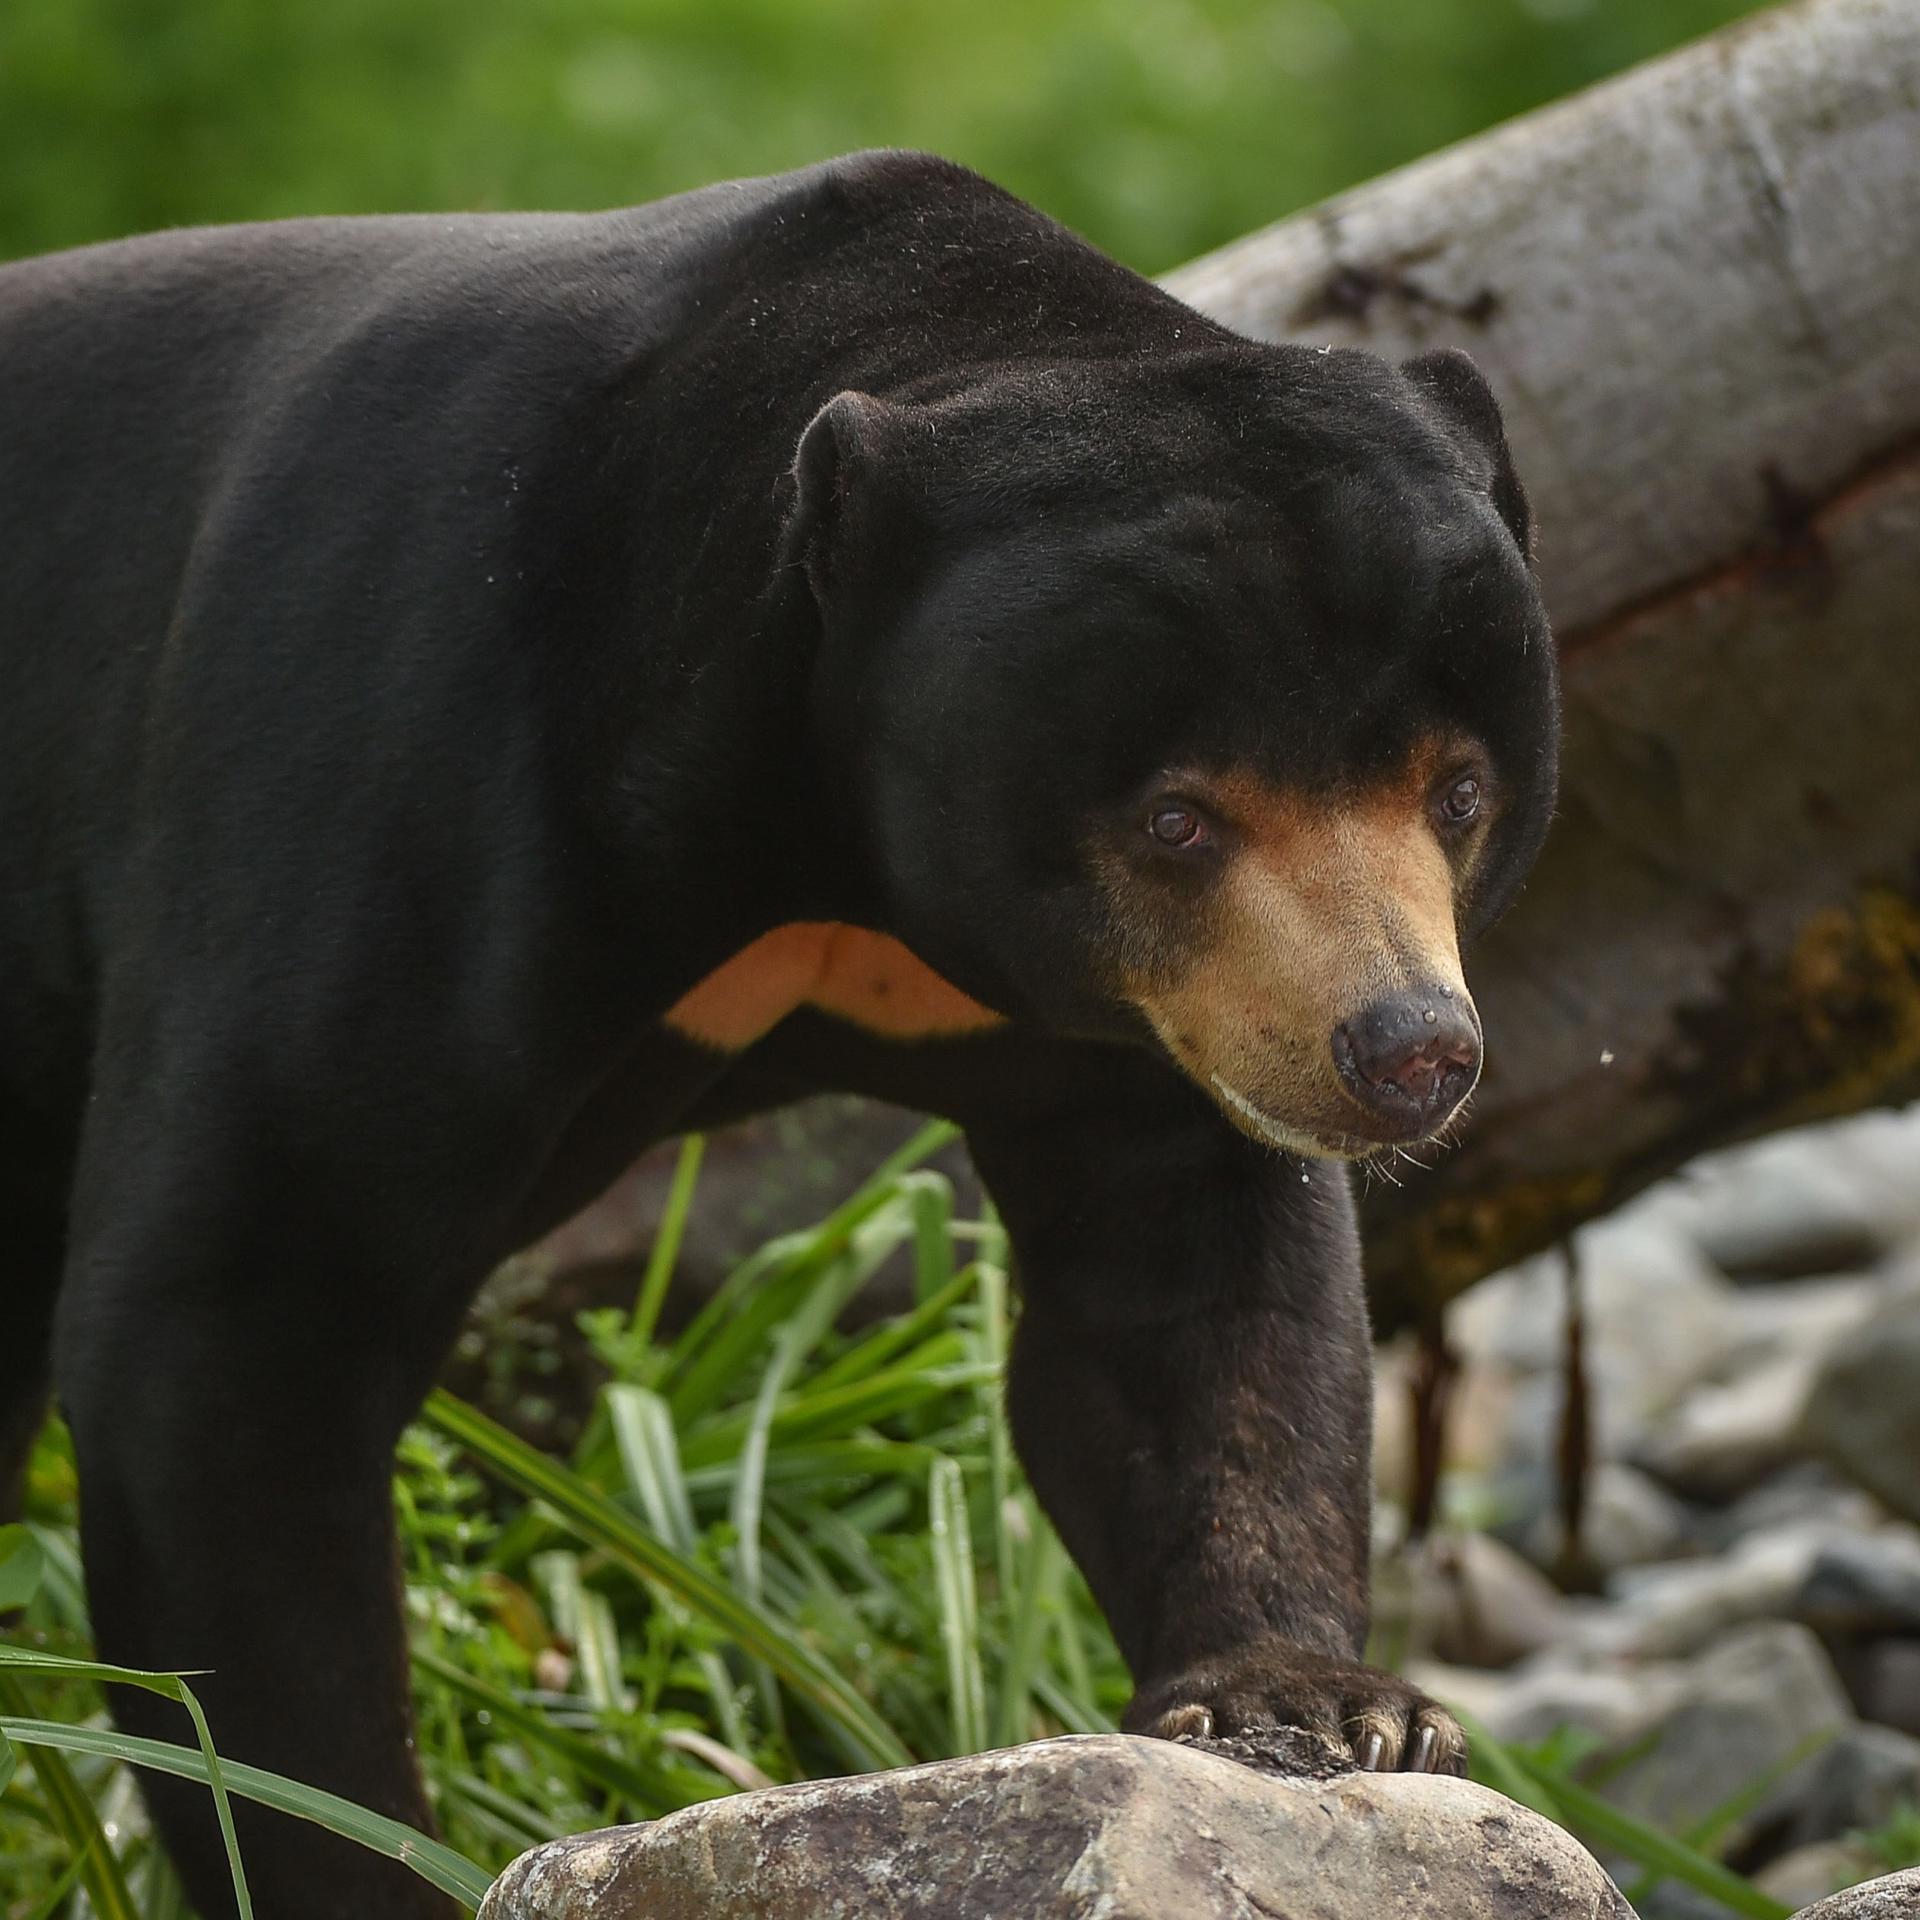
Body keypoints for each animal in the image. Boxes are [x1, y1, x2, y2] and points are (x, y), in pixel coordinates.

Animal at [0, 150, 1557, 1918]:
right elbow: (241, 1314)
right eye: (1176, 818)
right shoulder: (399, 744)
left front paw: (1311, 1712)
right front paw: (354, 1852)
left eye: (1457, 790)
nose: (1408, 1052)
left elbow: (1188, 1298)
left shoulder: (1152, 1020)